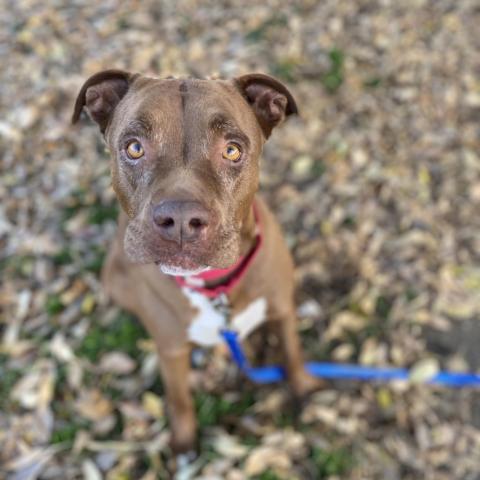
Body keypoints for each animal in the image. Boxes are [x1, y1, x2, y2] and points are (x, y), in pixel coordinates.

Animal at [72, 69, 318, 456]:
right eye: (134, 148)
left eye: (232, 150)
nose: (181, 220)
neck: (215, 286)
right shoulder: (171, 350)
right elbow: (179, 398)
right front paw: (184, 441)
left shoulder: (282, 308)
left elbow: (292, 351)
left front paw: (303, 387)